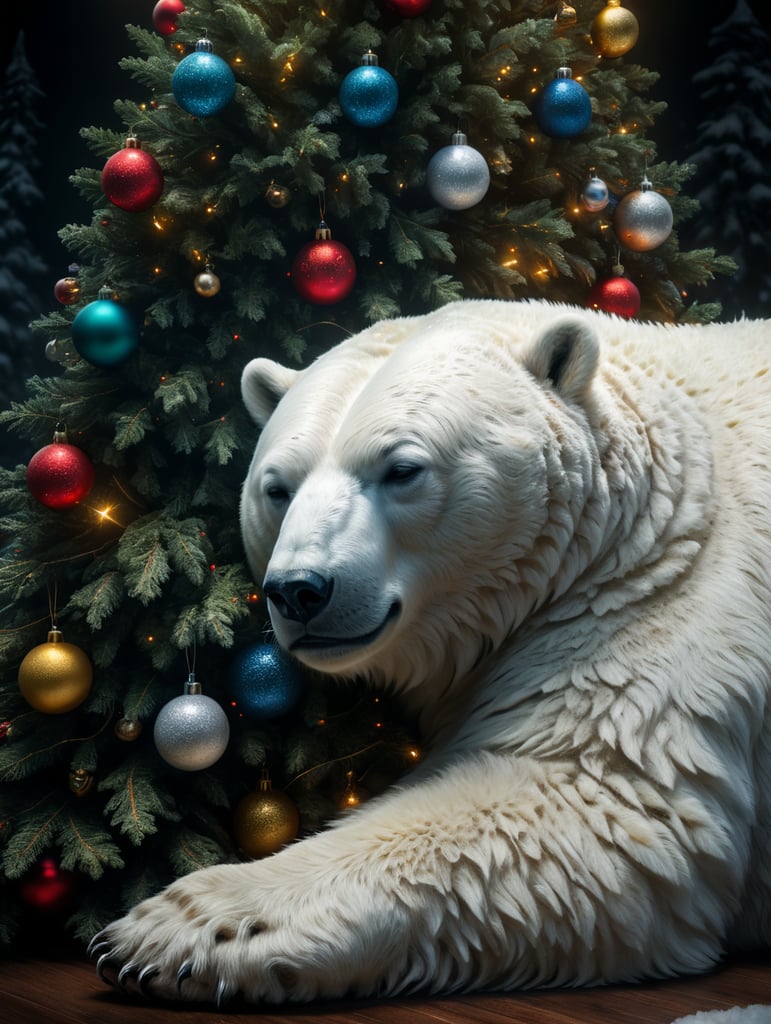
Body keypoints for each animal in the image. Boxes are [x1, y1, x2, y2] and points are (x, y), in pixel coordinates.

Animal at [91, 298, 771, 1006]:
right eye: (277, 487)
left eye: (401, 469)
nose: (298, 591)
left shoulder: (652, 603)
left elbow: (595, 800)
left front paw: (175, 929)